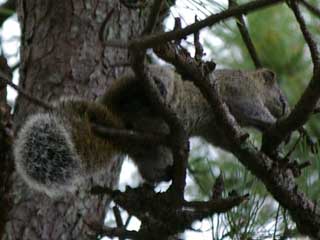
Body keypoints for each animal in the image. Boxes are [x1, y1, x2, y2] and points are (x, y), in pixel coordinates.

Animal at [13, 64, 288, 196]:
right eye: (282, 97)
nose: (286, 110)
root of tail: (115, 119)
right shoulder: (238, 91)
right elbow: (251, 108)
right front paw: (273, 126)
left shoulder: (218, 129)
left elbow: (227, 141)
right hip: (148, 79)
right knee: (148, 85)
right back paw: (155, 89)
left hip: (149, 149)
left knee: (150, 168)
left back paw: (167, 173)